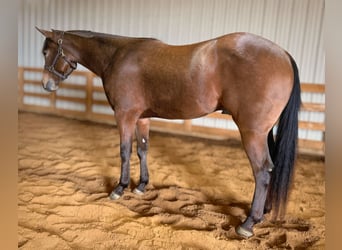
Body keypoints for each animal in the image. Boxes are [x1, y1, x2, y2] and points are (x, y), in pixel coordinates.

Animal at [36, 27, 300, 238]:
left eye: (46, 52)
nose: (46, 85)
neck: (116, 56)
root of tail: (284, 55)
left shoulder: (124, 115)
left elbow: (124, 151)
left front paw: (120, 188)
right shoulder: (142, 118)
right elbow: (142, 150)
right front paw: (141, 186)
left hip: (252, 133)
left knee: (262, 171)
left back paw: (248, 223)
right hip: (264, 132)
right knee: (270, 169)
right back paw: (263, 211)